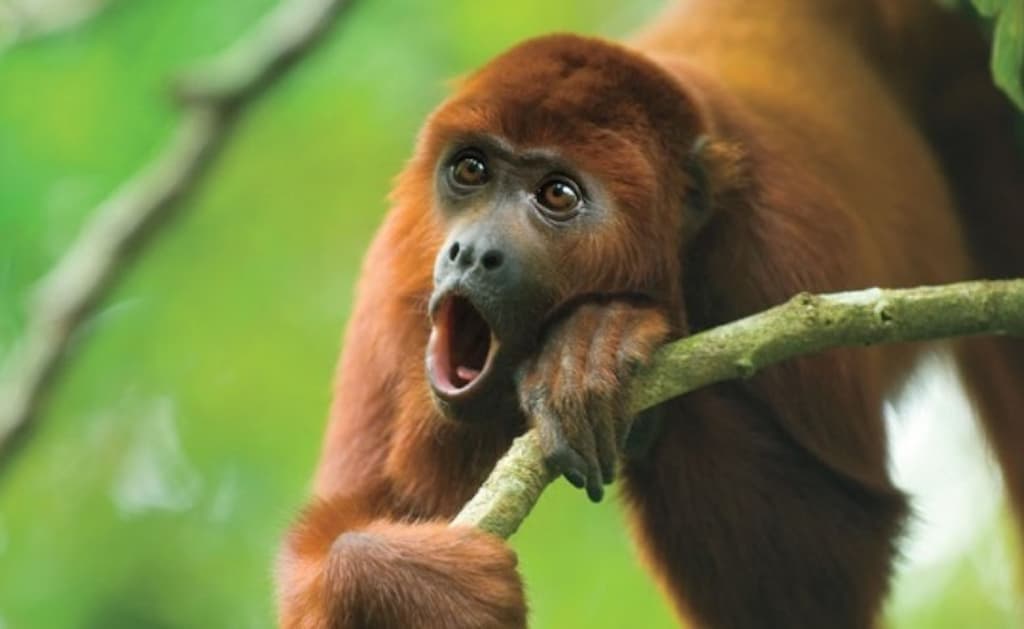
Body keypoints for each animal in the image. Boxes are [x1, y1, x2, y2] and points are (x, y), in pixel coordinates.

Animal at [276, 1, 1024, 627]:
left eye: (557, 195)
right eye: (470, 171)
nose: (469, 252)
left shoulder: (785, 252)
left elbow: (833, 558)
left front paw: (596, 345)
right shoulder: (394, 282)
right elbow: (338, 528)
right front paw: (416, 585)